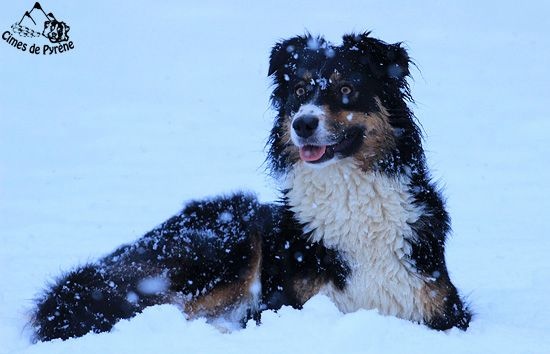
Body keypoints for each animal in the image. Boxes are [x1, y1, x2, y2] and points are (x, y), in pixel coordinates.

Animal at [30, 31, 472, 342]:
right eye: (299, 91)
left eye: (346, 88)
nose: (302, 123)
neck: (348, 192)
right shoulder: (283, 305)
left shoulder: (443, 309)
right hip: (230, 239)